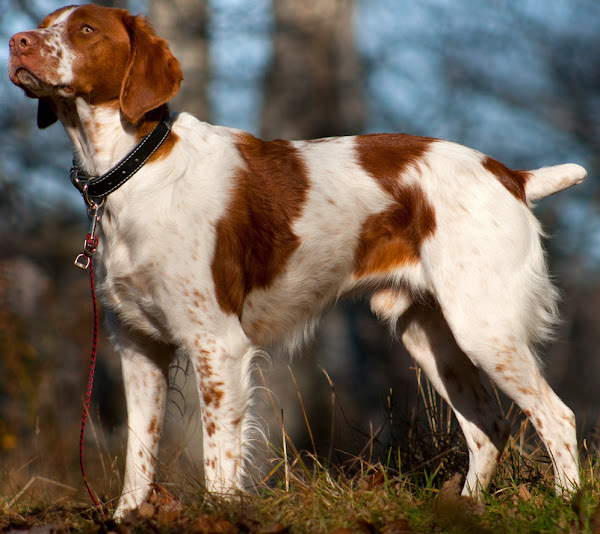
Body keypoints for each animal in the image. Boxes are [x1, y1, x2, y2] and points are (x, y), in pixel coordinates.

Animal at [7, 2, 584, 516]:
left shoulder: (217, 343)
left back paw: (567, 504)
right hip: (431, 334)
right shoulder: (137, 345)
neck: (133, 171)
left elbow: (219, 458)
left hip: (484, 326)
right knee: (489, 427)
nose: (16, 42)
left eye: (85, 29)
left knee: (557, 416)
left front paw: (222, 515)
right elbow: (138, 456)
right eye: (45, 24)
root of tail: (511, 174)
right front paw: (128, 518)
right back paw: (465, 509)